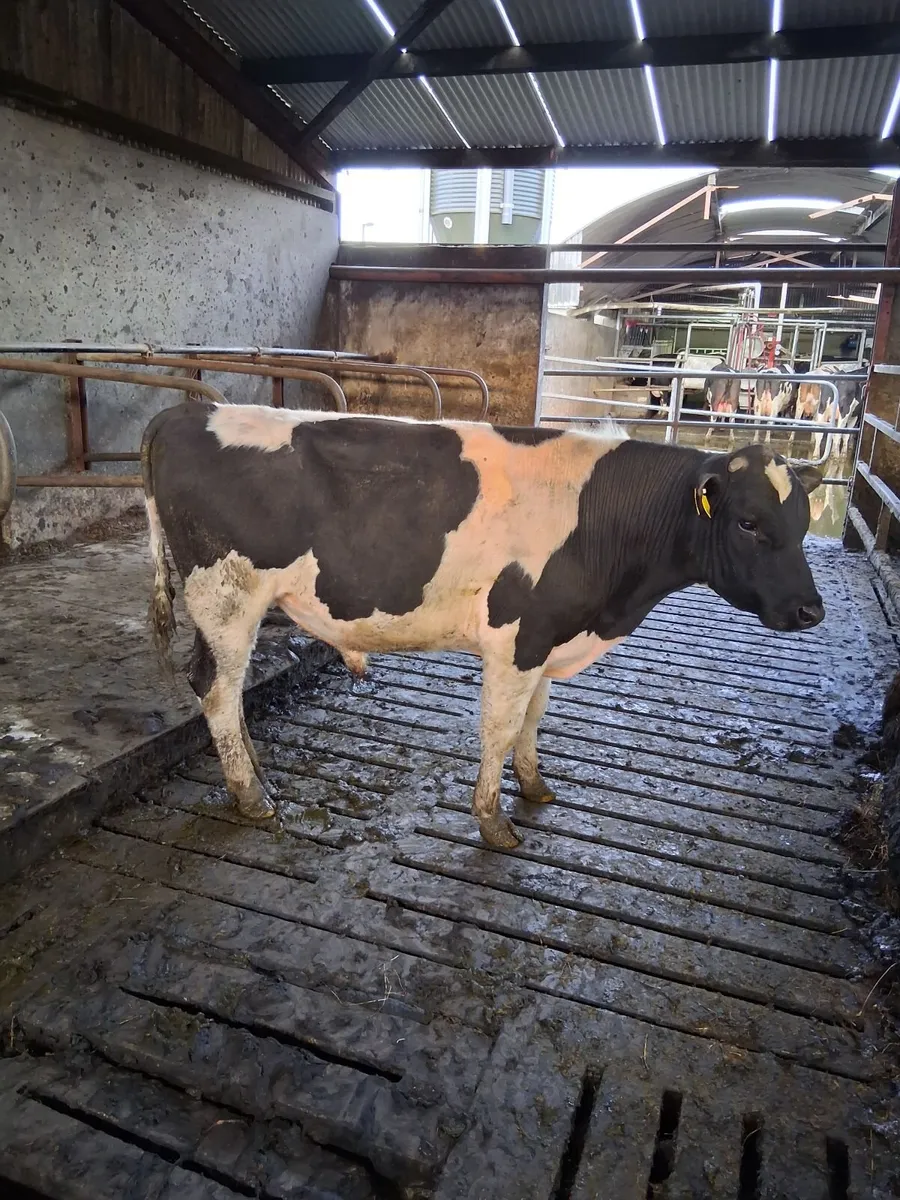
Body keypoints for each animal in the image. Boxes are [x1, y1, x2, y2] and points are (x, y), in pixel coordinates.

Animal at [142, 402, 825, 850]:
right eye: (748, 523)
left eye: (802, 520)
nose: (810, 611)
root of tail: (188, 410)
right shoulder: (518, 636)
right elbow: (498, 726)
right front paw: (493, 820)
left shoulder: (550, 636)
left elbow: (533, 719)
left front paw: (535, 785)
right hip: (225, 595)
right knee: (216, 690)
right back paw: (251, 796)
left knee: (224, 692)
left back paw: (256, 776)